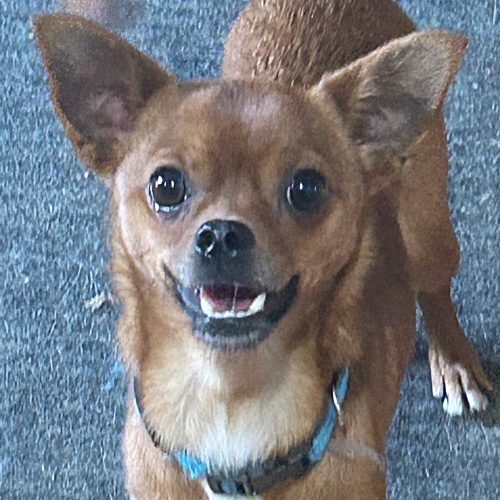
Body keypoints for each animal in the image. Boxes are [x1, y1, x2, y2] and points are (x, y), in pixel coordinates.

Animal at [35, 0, 491, 497]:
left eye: (306, 188)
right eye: (165, 185)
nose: (221, 234)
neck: (230, 401)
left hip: (429, 234)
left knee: (434, 289)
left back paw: (454, 360)